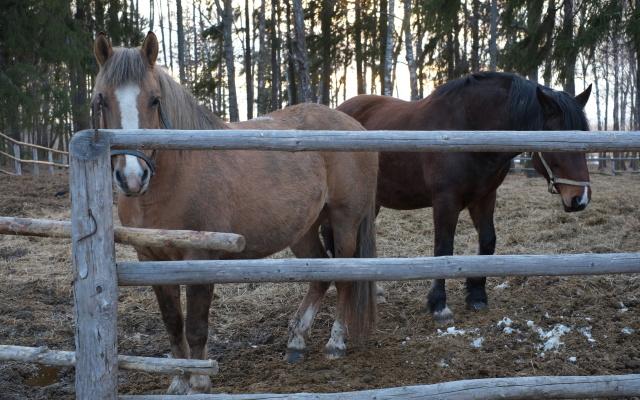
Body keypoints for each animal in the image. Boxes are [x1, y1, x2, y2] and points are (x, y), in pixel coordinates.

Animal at [92, 32, 378, 394]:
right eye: (102, 99)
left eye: (155, 101)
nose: (132, 177)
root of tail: (354, 124)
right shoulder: (151, 260)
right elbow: (172, 323)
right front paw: (178, 379)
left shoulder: (201, 259)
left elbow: (196, 327)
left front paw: (199, 381)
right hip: (303, 229)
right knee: (320, 274)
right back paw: (297, 342)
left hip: (345, 223)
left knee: (344, 276)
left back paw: (336, 343)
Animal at [336, 72, 592, 324]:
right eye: (557, 142)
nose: (580, 199)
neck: (471, 129)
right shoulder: (445, 201)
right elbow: (443, 248)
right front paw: (439, 305)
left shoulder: (485, 197)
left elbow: (487, 241)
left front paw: (476, 295)